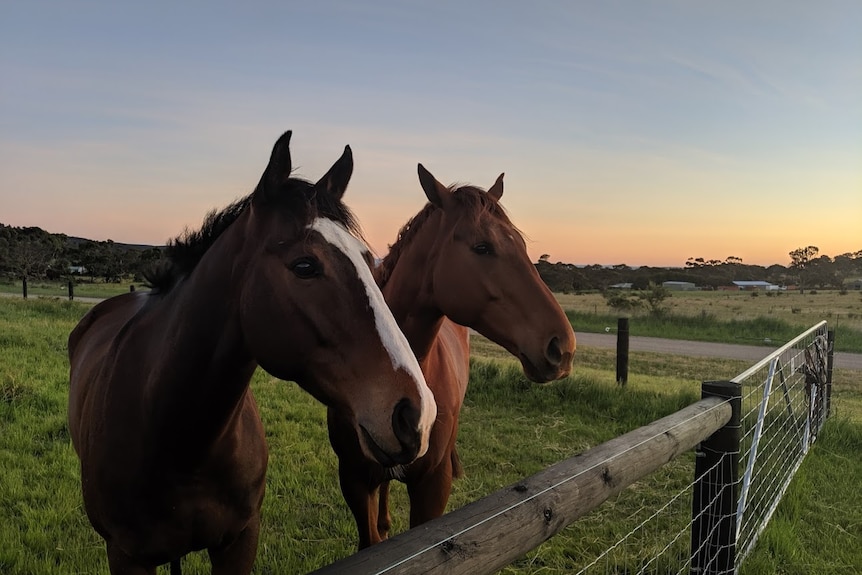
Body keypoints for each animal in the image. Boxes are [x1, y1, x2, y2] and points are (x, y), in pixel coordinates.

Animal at [66, 132, 438, 575]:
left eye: (369, 262)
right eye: (305, 265)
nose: (417, 415)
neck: (178, 438)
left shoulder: (240, 541)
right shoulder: (126, 556)